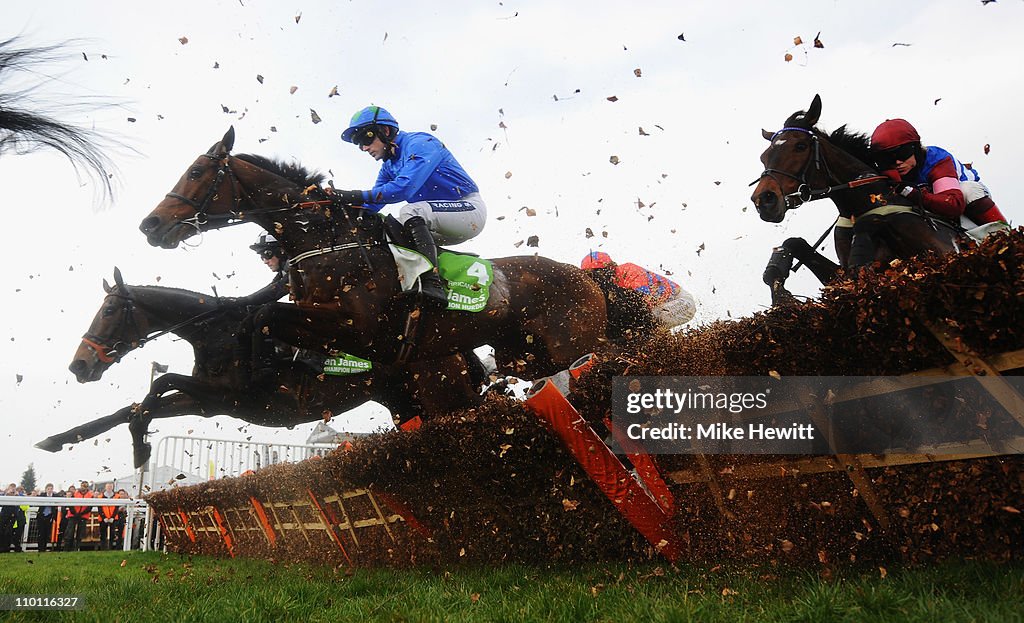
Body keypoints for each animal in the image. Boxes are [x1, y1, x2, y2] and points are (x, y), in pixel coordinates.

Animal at [43, 268, 479, 467]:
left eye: (109, 311)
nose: (79, 365)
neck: (216, 334)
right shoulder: (208, 403)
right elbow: (131, 407)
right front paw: (58, 439)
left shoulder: (235, 397)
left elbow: (160, 383)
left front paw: (140, 446)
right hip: (404, 403)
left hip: (442, 395)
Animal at [139, 127, 610, 379]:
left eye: (196, 172)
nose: (150, 226)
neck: (327, 243)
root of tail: (582, 276)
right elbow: (262, 313)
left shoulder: (360, 330)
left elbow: (265, 314)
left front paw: (264, 373)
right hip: (526, 355)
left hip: (573, 346)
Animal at [753, 93, 958, 303]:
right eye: (763, 157)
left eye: (800, 146)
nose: (764, 200)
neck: (859, 207)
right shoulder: (839, 278)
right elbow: (793, 243)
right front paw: (780, 294)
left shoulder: (944, 251)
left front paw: (859, 262)